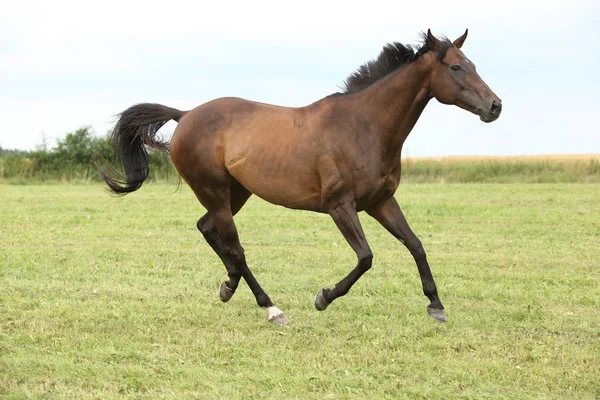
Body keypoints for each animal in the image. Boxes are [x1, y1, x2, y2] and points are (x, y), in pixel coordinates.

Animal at [98, 30, 502, 324]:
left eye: (472, 64)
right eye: (456, 68)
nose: (495, 106)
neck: (363, 127)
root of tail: (185, 116)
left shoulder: (380, 202)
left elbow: (416, 244)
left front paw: (436, 306)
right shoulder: (340, 206)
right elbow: (366, 258)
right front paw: (323, 297)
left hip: (236, 192)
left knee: (208, 229)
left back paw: (228, 286)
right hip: (214, 191)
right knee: (236, 247)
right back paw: (271, 308)